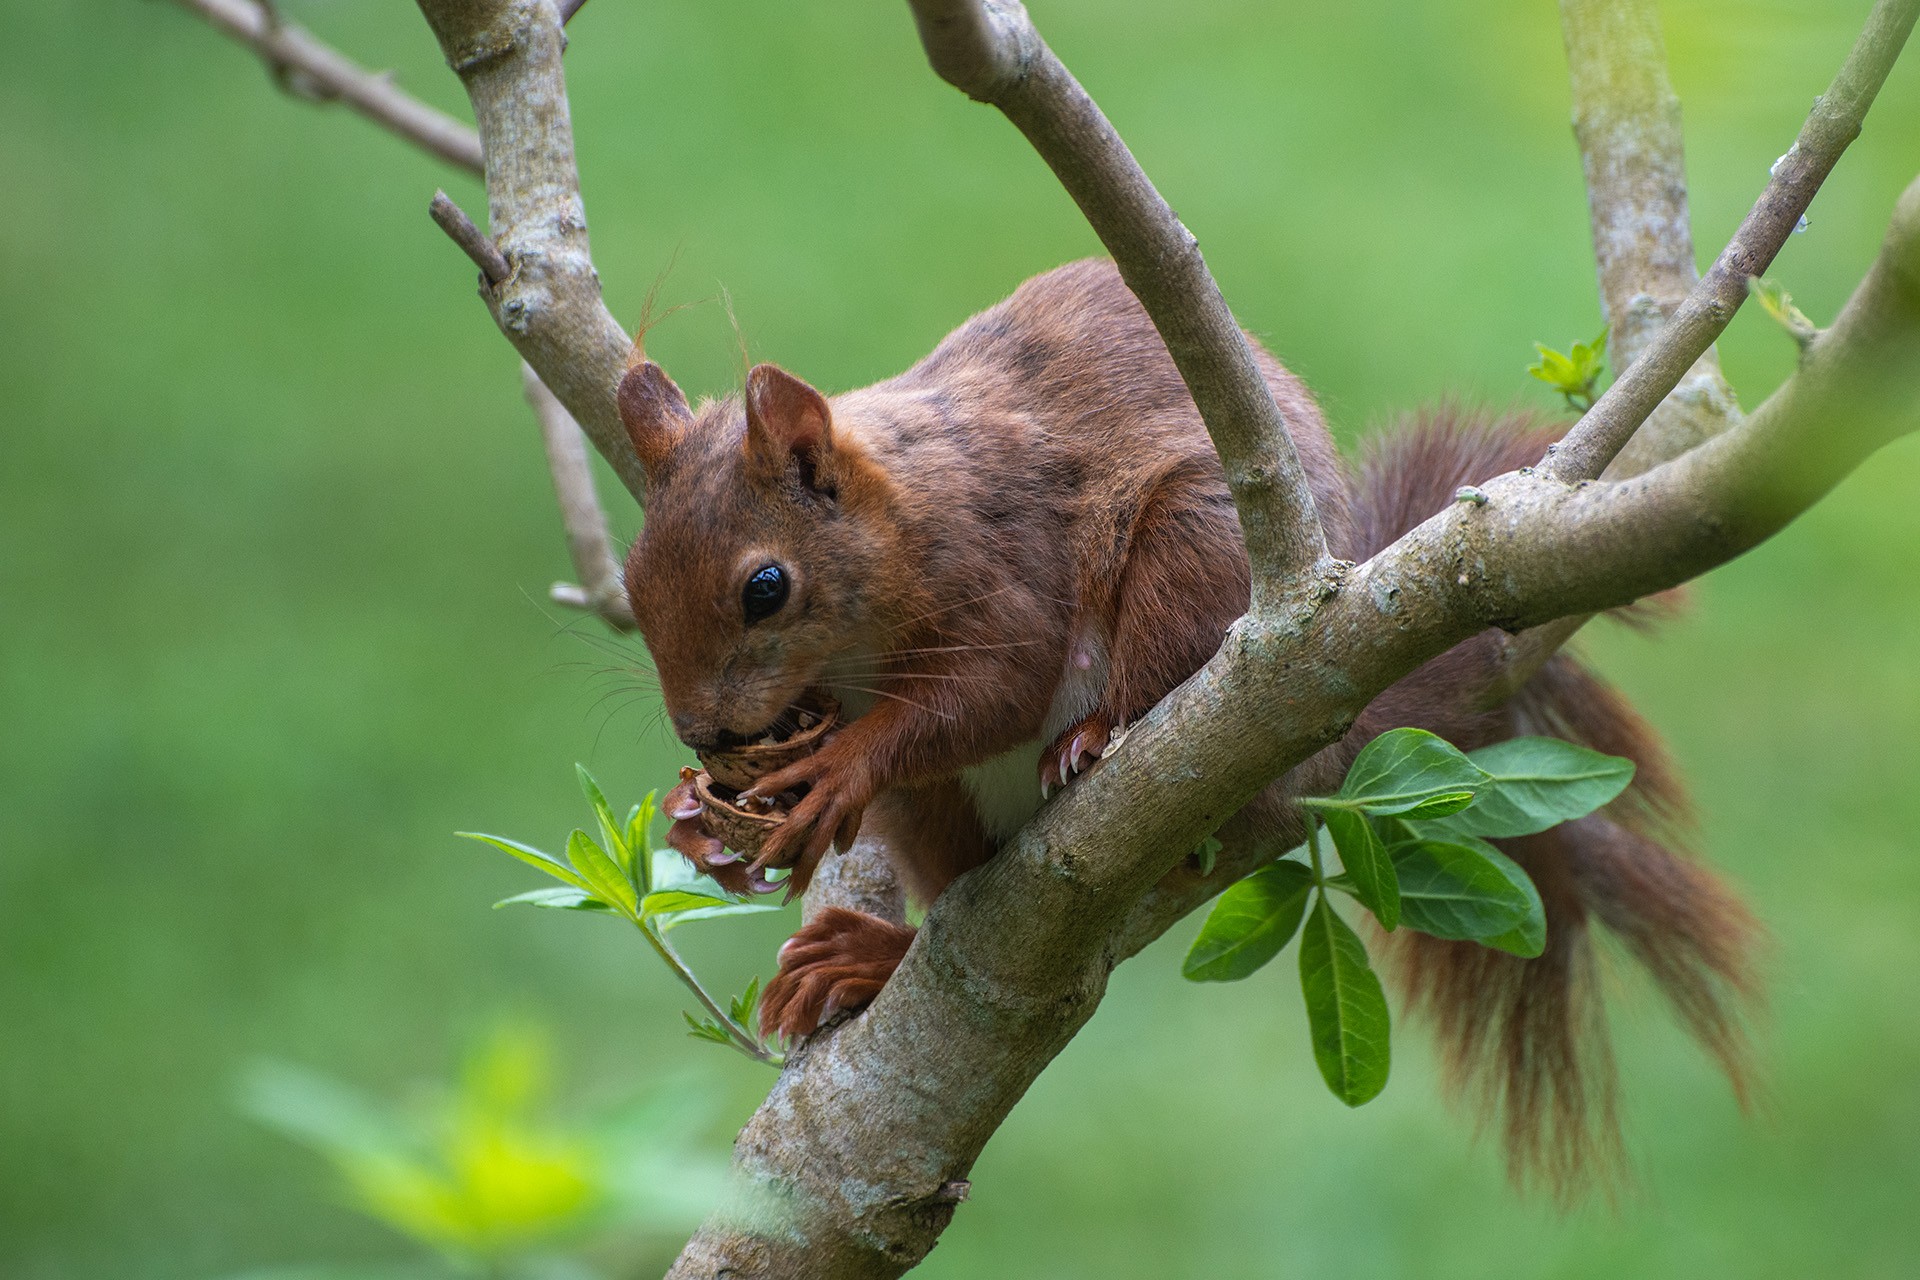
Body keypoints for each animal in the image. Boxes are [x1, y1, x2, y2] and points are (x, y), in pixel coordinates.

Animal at [614, 260, 1758, 1189]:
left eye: (766, 586)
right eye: (628, 579)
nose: (703, 731)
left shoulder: (1000, 555)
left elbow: (996, 687)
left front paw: (838, 769)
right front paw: (697, 821)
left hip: (1195, 540)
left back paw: (1096, 740)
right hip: (942, 810)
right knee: (951, 888)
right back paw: (875, 954)